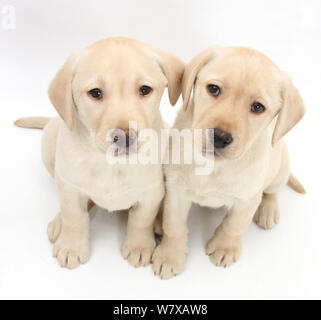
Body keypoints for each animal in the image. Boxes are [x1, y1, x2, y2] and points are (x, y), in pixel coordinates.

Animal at [15, 38, 184, 272]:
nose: (125, 137)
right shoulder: (68, 186)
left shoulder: (151, 191)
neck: (111, 163)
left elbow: (141, 220)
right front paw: (72, 247)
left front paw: (139, 246)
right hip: (49, 142)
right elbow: (74, 217)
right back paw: (59, 223)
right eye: (95, 93)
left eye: (144, 90)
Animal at [151, 46, 304, 278]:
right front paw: (170, 255)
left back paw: (268, 210)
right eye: (213, 89)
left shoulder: (247, 199)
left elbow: (235, 225)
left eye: (258, 107)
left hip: (280, 168)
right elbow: (174, 225)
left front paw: (225, 247)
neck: (213, 166)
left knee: (272, 191)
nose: (220, 137)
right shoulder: (176, 191)